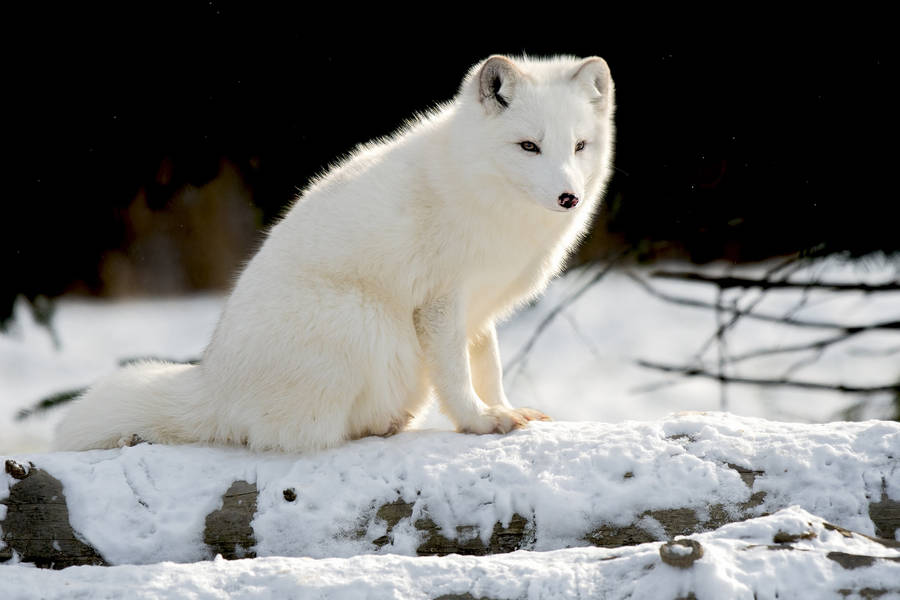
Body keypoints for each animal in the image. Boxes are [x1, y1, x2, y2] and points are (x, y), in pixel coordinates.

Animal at [54, 54, 616, 453]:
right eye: (528, 147)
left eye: (579, 146)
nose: (569, 197)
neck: (481, 191)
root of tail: (213, 384)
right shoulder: (439, 304)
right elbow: (457, 377)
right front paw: (479, 422)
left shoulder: (479, 311)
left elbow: (489, 368)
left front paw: (504, 409)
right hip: (364, 321)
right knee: (297, 436)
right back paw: (376, 426)